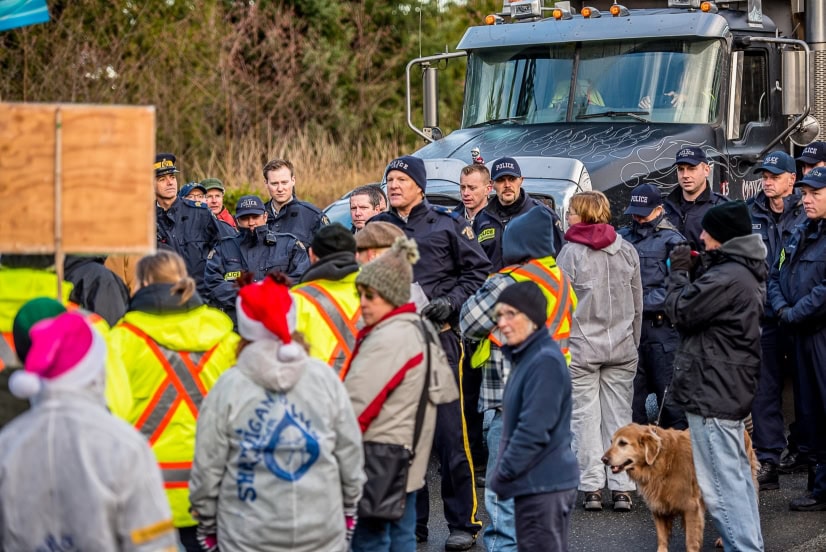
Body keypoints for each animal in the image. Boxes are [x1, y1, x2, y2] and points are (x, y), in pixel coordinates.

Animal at [600, 424, 756, 548]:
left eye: (623, 443)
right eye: (611, 442)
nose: (603, 459)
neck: (661, 462)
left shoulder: (691, 507)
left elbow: (691, 540)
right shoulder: (659, 507)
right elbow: (662, 538)